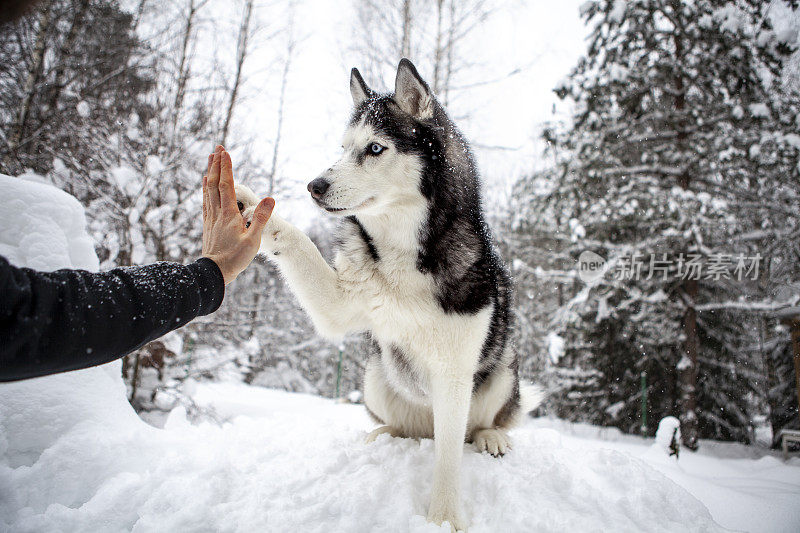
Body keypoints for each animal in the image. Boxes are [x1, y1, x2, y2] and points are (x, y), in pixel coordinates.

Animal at [234, 57, 540, 528]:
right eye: (343, 148)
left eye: (375, 149)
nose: (314, 186)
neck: (403, 255)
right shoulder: (341, 304)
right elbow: (298, 242)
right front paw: (253, 208)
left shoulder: (454, 372)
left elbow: (449, 458)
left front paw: (444, 518)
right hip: (376, 375)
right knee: (402, 428)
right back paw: (381, 434)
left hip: (503, 369)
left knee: (481, 427)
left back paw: (492, 437)